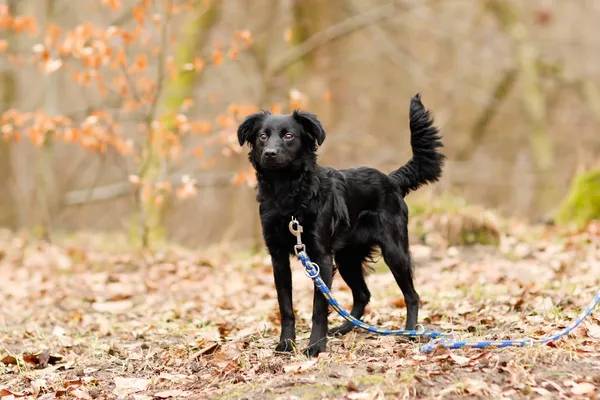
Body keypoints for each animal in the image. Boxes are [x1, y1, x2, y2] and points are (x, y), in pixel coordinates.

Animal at [237, 94, 442, 356]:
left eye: (289, 136)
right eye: (263, 136)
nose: (270, 153)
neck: (288, 195)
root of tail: (391, 179)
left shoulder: (321, 258)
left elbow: (318, 308)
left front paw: (315, 346)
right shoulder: (278, 258)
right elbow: (286, 307)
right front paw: (286, 343)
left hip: (394, 251)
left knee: (412, 295)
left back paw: (410, 332)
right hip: (347, 259)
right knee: (363, 295)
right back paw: (345, 328)